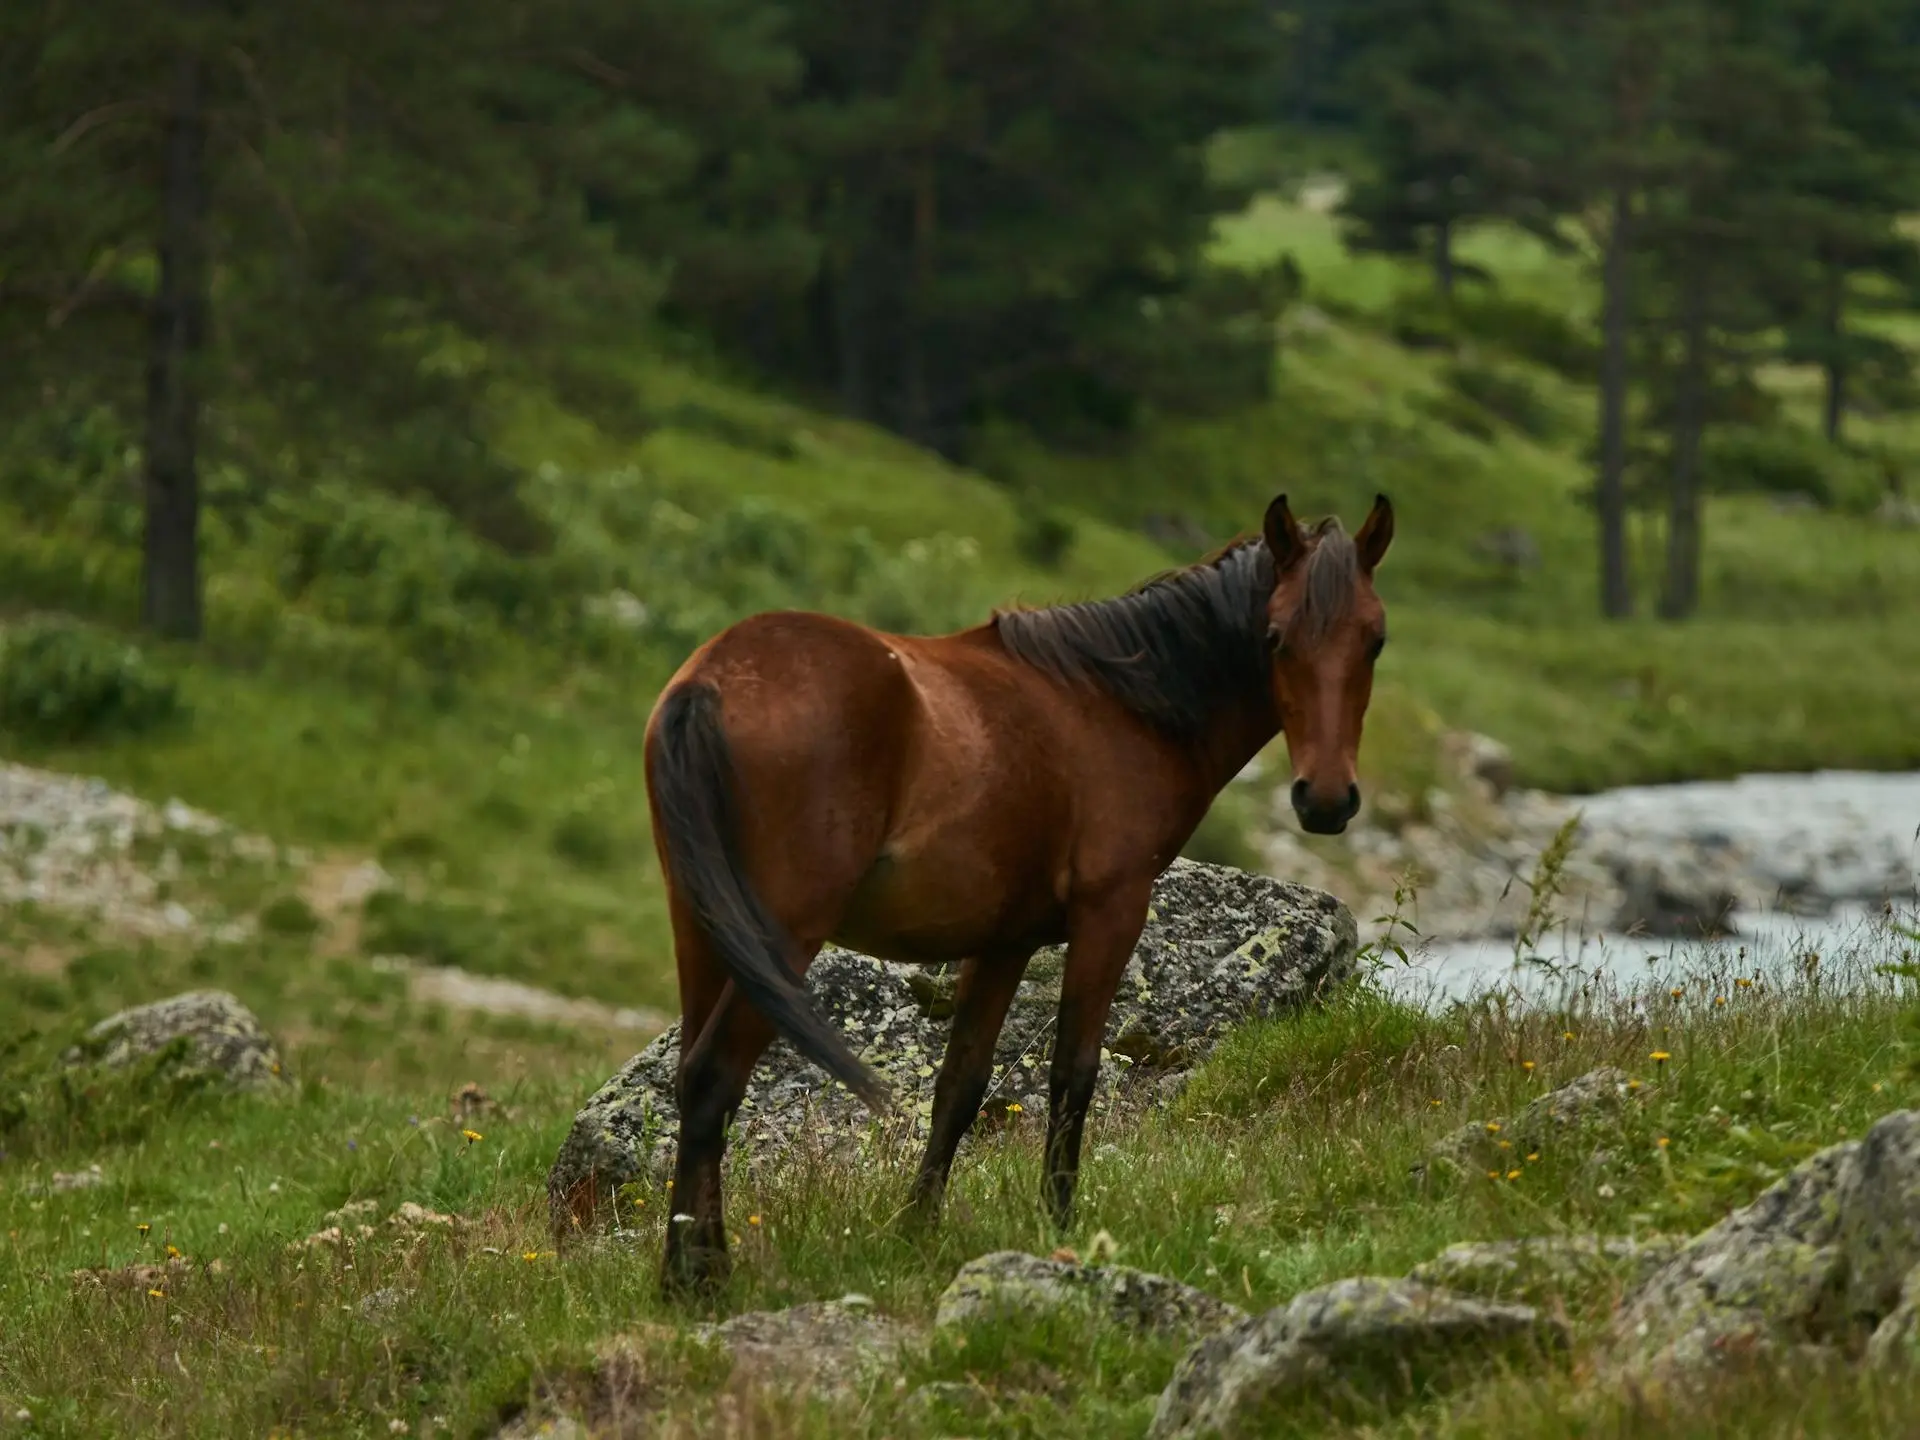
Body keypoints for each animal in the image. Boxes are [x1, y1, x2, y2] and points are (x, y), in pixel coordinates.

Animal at [645, 495, 1397, 1297]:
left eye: (1374, 641)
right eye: (1276, 637)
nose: (1326, 800)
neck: (1117, 705)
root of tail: (711, 682)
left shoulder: (1002, 943)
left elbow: (960, 1087)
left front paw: (917, 1230)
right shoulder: (1111, 913)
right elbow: (1074, 1075)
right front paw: (1059, 1224)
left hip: (704, 932)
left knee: (694, 1085)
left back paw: (693, 1268)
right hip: (782, 939)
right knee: (714, 1080)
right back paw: (698, 1283)